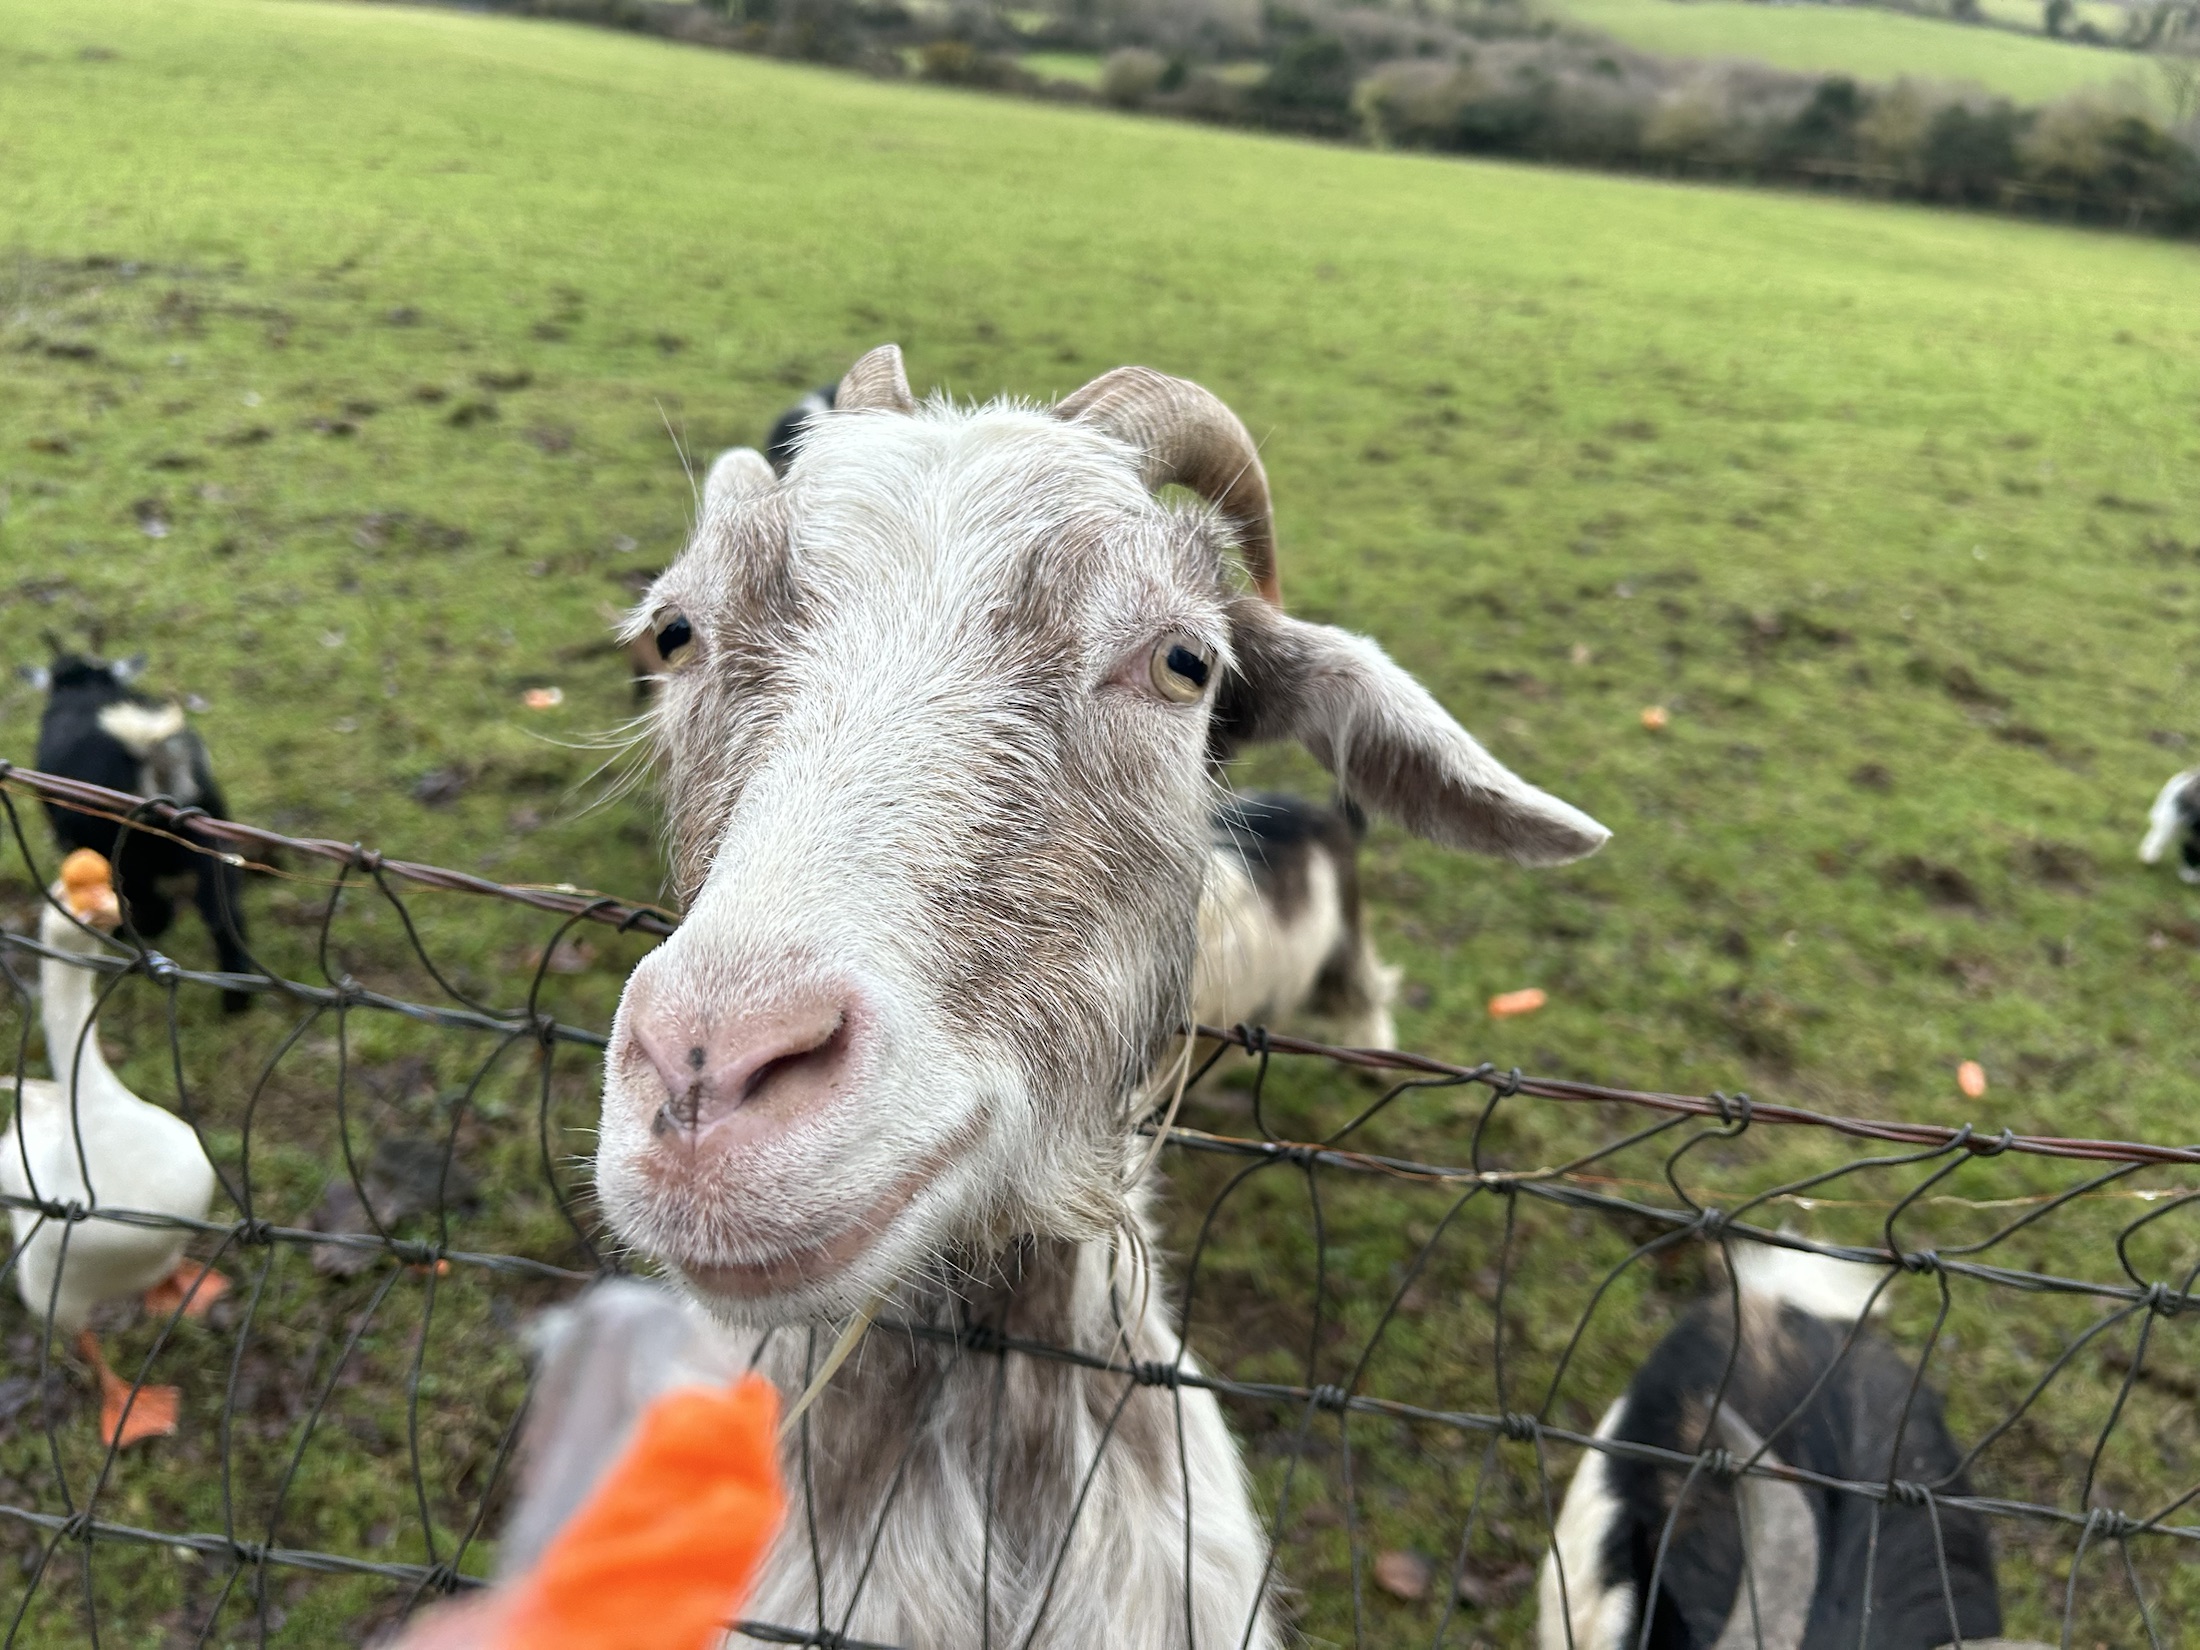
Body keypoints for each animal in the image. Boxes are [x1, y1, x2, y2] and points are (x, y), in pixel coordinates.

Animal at [23, 647, 253, 1013]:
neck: (83, 690)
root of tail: (152, 751)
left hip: (126, 857)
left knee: (158, 910)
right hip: (211, 841)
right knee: (223, 916)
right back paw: (236, 998)